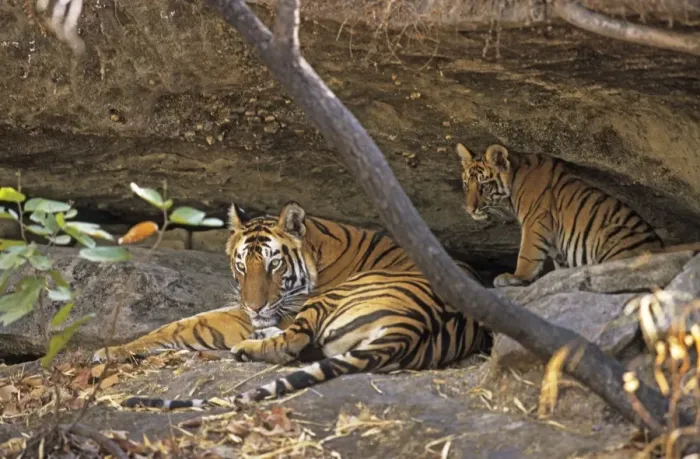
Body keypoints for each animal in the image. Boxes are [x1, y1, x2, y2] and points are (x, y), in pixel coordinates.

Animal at [95, 201, 490, 408]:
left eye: (274, 264)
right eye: (242, 265)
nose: (255, 306)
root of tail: (408, 327)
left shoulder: (261, 312)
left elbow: (187, 324)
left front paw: (110, 351)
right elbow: (184, 322)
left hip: (327, 302)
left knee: (291, 344)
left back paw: (247, 347)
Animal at [456, 143, 665, 288]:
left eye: (483, 186)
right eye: (466, 185)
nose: (470, 209)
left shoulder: (535, 220)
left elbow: (527, 254)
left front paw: (514, 276)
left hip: (611, 233)